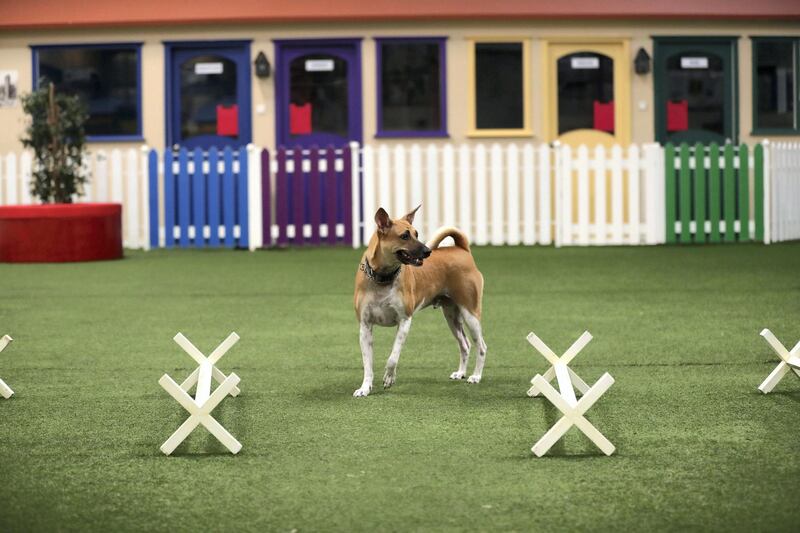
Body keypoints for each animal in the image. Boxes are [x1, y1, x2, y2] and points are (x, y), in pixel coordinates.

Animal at [352, 206, 488, 396]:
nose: (427, 251)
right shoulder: (365, 327)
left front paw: (389, 378)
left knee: (481, 346)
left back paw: (476, 376)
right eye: (404, 236)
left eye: (416, 233)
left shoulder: (404, 321)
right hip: (452, 317)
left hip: (470, 313)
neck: (383, 278)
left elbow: (393, 357)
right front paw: (365, 388)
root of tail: (462, 250)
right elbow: (367, 364)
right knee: (465, 345)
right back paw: (460, 373)